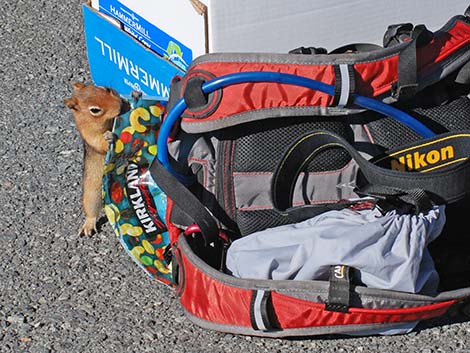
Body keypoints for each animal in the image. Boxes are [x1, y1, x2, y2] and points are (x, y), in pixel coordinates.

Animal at [65, 82, 126, 235]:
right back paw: (88, 225)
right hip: (92, 194)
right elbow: (100, 142)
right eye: (95, 110)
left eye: (106, 89)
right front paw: (109, 136)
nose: (120, 104)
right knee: (91, 211)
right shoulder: (91, 136)